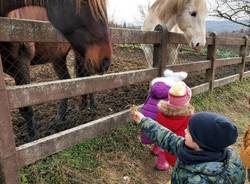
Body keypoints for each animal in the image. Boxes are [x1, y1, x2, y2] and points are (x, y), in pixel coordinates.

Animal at [0, 0, 112, 138]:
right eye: (83, 2)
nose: (105, 61)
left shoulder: (21, 62)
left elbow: (26, 107)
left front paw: (33, 138)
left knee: (87, 78)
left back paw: (91, 107)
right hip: (59, 58)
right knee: (68, 81)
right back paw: (63, 116)